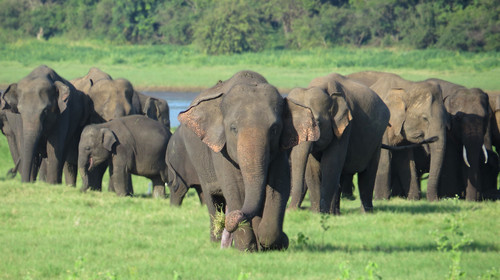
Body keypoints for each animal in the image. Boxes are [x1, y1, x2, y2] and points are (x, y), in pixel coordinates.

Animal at [174, 70, 318, 252]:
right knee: (212, 198)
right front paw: (247, 249)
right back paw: (216, 240)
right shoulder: (221, 151)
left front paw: (273, 243)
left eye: (274, 129)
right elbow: (235, 187)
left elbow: (279, 185)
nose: (230, 220)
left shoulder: (279, 151)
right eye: (233, 128)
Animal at [290, 72, 390, 214]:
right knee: (342, 173)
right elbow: (312, 167)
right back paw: (336, 213)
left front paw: (322, 213)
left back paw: (366, 212)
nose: (291, 211)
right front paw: (316, 212)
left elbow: (331, 162)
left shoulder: (345, 127)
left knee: (368, 173)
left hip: (377, 139)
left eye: (317, 123)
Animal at [348, 70, 450, 201]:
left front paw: (413, 199)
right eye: (424, 118)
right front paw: (382, 199)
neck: (407, 86)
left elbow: (406, 159)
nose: (435, 200)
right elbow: (384, 158)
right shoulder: (384, 123)